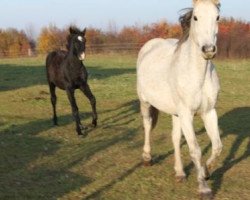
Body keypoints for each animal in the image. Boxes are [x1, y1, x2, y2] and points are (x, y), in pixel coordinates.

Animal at [137, 0, 223, 198]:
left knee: (175, 138)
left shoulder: (209, 112)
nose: (208, 50)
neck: (197, 74)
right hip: (145, 103)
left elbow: (217, 147)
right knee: (147, 126)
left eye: (217, 17)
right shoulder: (186, 114)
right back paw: (147, 158)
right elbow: (195, 150)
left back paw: (180, 173)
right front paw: (204, 188)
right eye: (195, 17)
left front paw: (206, 172)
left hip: (175, 113)